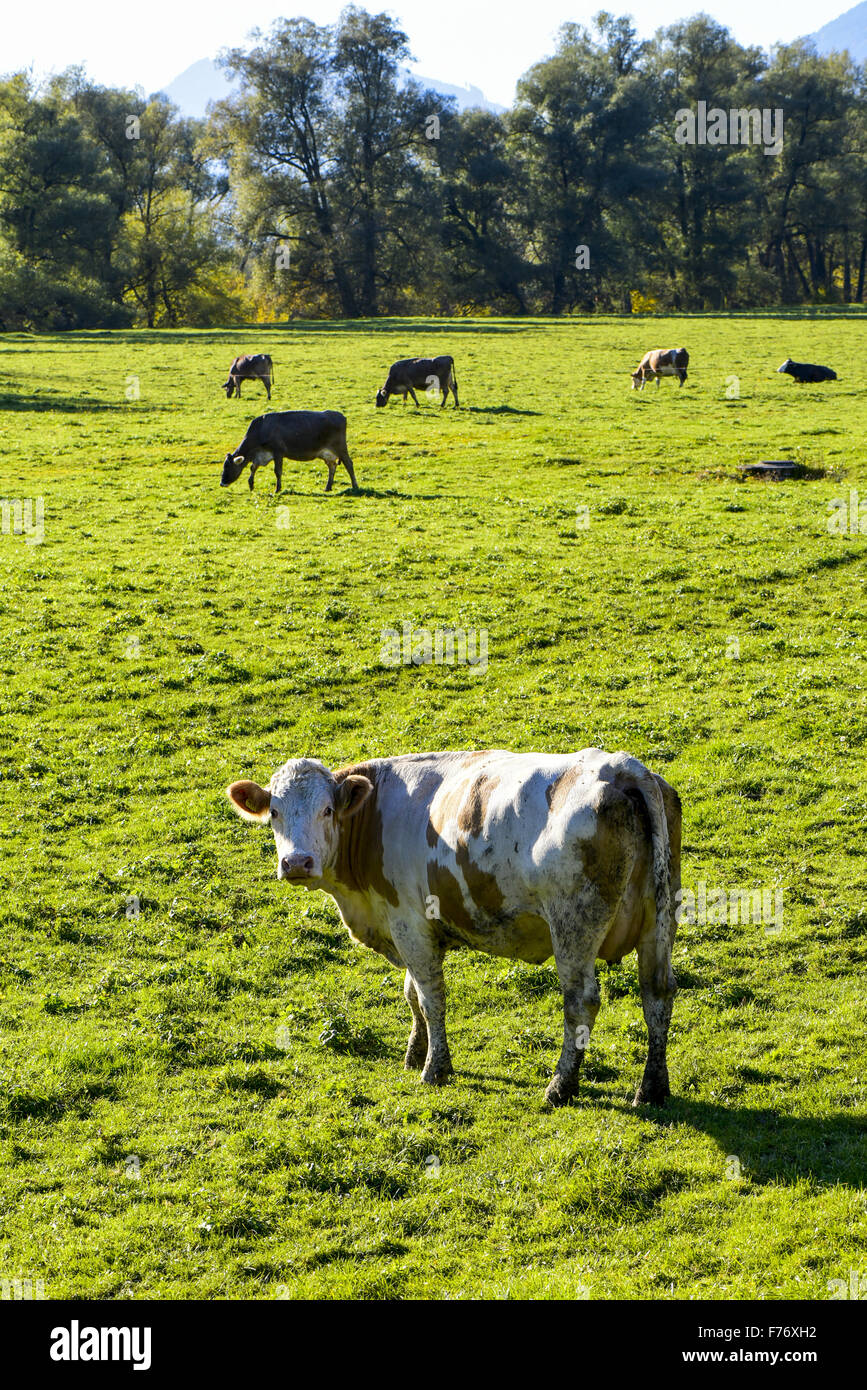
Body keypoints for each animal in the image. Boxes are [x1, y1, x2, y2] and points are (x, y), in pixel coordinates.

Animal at [223, 405, 361, 494]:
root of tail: (340, 415)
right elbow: (253, 468)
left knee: (349, 464)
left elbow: (277, 471)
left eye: (228, 467)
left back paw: (355, 486)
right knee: (332, 466)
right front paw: (251, 485)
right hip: (327, 453)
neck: (261, 429)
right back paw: (328, 487)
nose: (222, 483)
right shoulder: (261, 454)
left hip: (340, 448)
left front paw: (277, 489)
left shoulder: (278, 452)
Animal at [225, 750, 683, 1106]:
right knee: (657, 992)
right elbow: (411, 994)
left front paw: (435, 1068)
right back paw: (652, 1088)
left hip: (574, 927)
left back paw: (560, 1086)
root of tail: (623, 768)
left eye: (327, 810)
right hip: (660, 920)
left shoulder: (409, 923)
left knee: (581, 1001)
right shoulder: (405, 925)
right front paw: (415, 1051)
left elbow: (430, 998)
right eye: (275, 813)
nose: (296, 863)